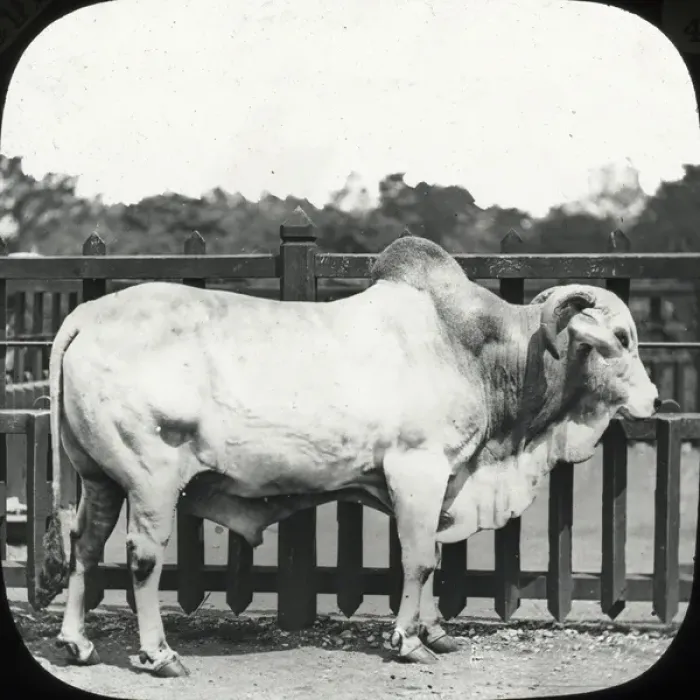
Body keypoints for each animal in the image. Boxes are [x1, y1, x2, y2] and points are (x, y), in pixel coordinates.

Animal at [34, 235, 659, 678]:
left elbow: (430, 552)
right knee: (141, 558)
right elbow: (419, 559)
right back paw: (159, 655)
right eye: (621, 339)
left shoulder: (444, 480)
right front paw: (408, 642)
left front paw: (435, 632)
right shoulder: (417, 470)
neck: (474, 349)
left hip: (98, 477)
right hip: (151, 479)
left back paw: (78, 642)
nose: (655, 400)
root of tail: (86, 315)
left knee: (85, 546)